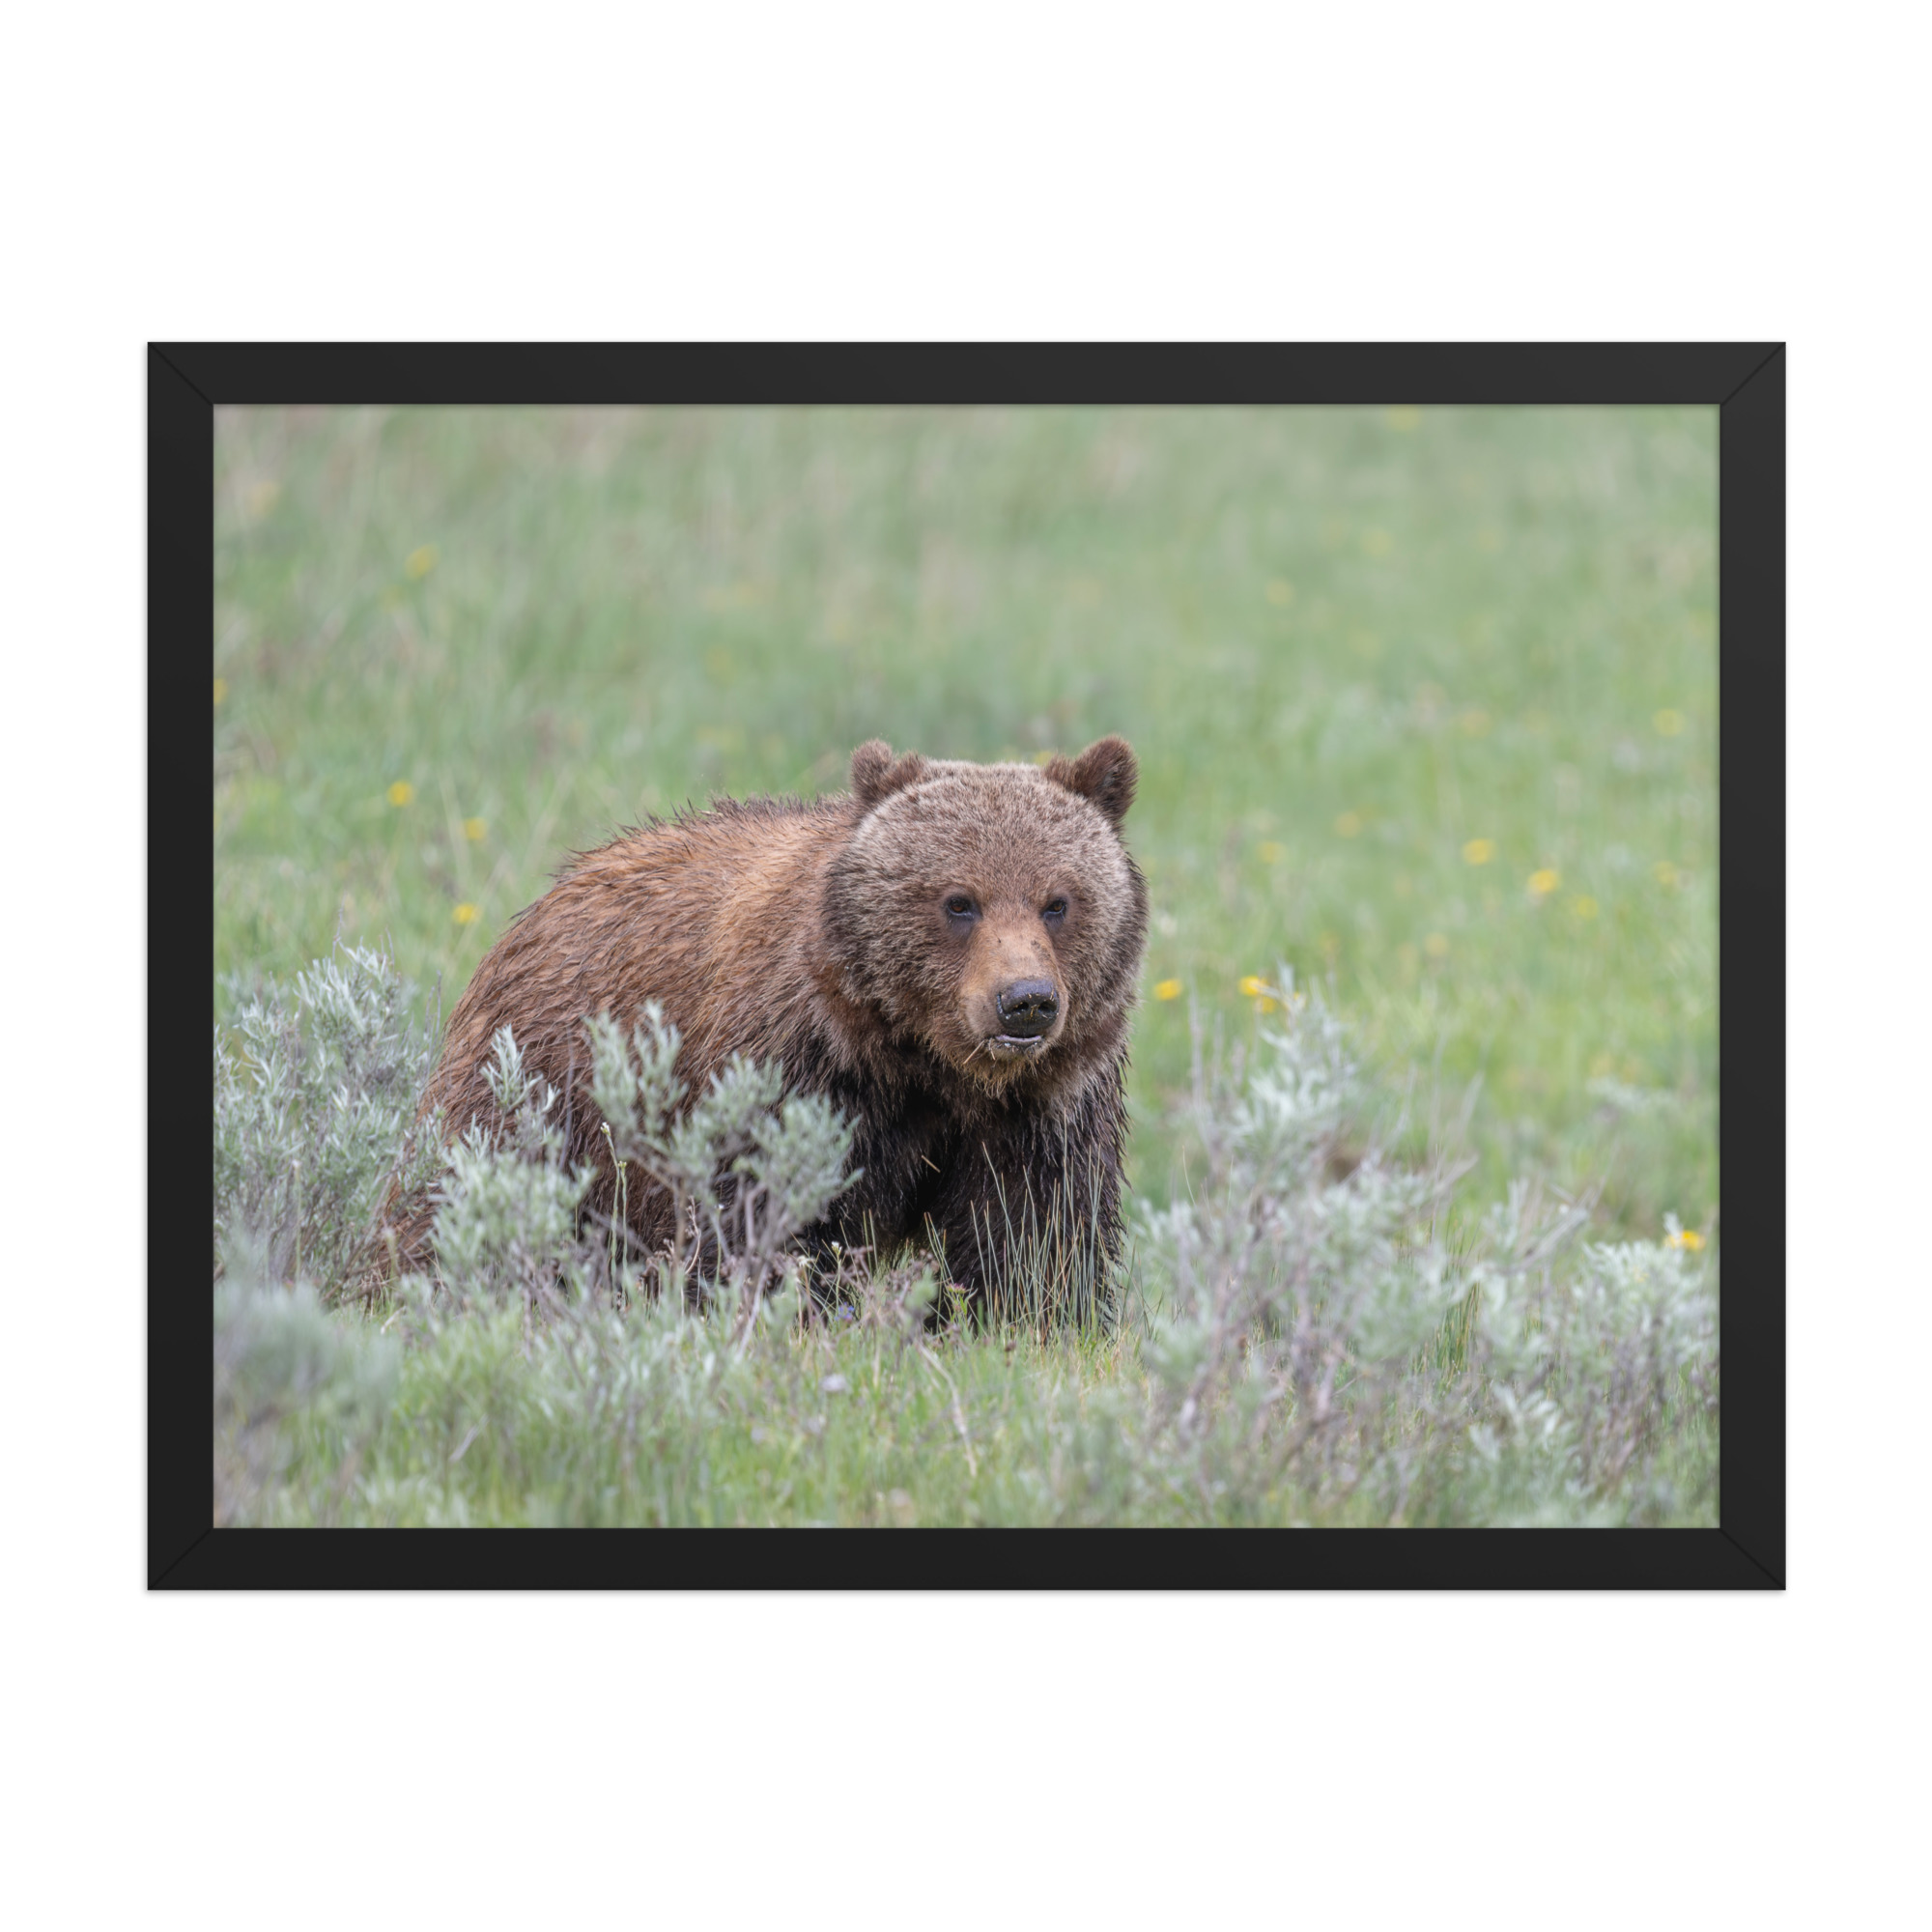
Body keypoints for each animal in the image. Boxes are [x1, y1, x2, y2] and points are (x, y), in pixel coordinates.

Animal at [401, 736, 1148, 1310]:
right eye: (959, 901)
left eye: (1058, 901)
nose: (1025, 1000)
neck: (927, 1065)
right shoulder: (795, 1072)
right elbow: (763, 1218)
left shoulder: (1042, 1109)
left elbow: (1032, 1238)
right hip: (542, 1086)